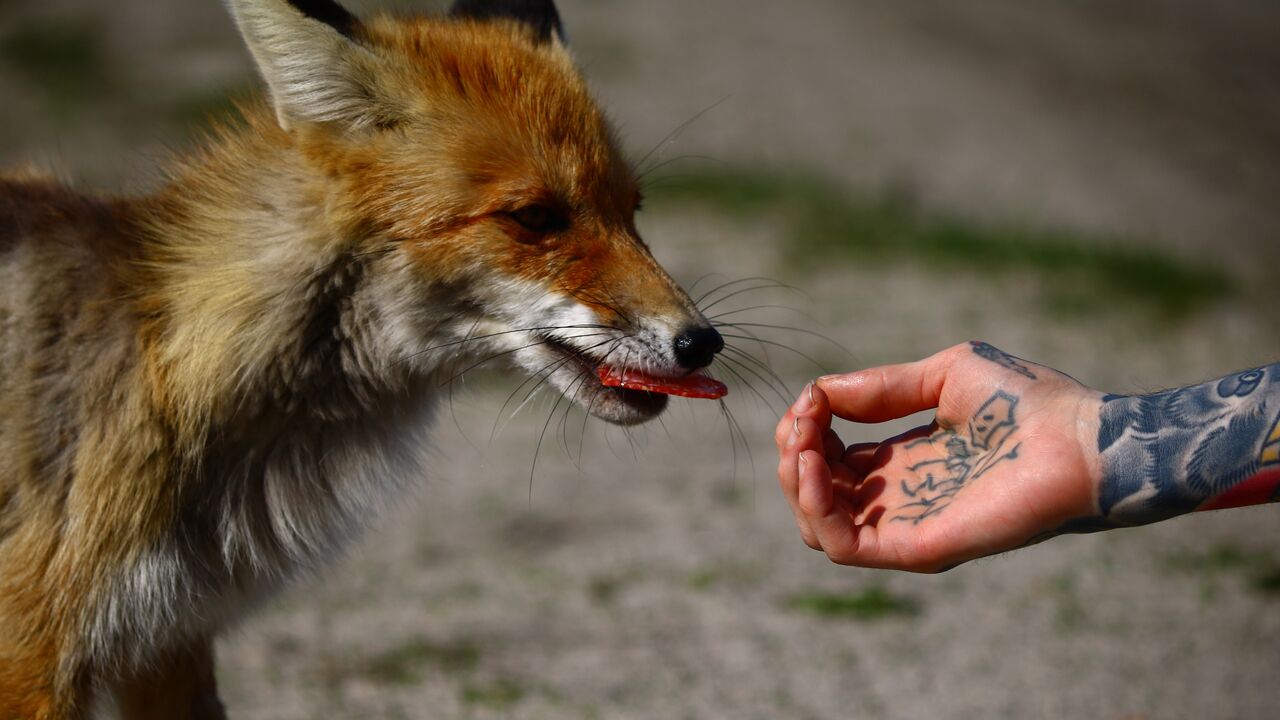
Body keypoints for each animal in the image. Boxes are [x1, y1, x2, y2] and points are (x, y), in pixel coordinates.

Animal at [0, 0, 727, 712]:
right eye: (534, 217)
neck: (172, 361)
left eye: (632, 210)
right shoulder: (38, 653)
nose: (702, 342)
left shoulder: (167, 641)